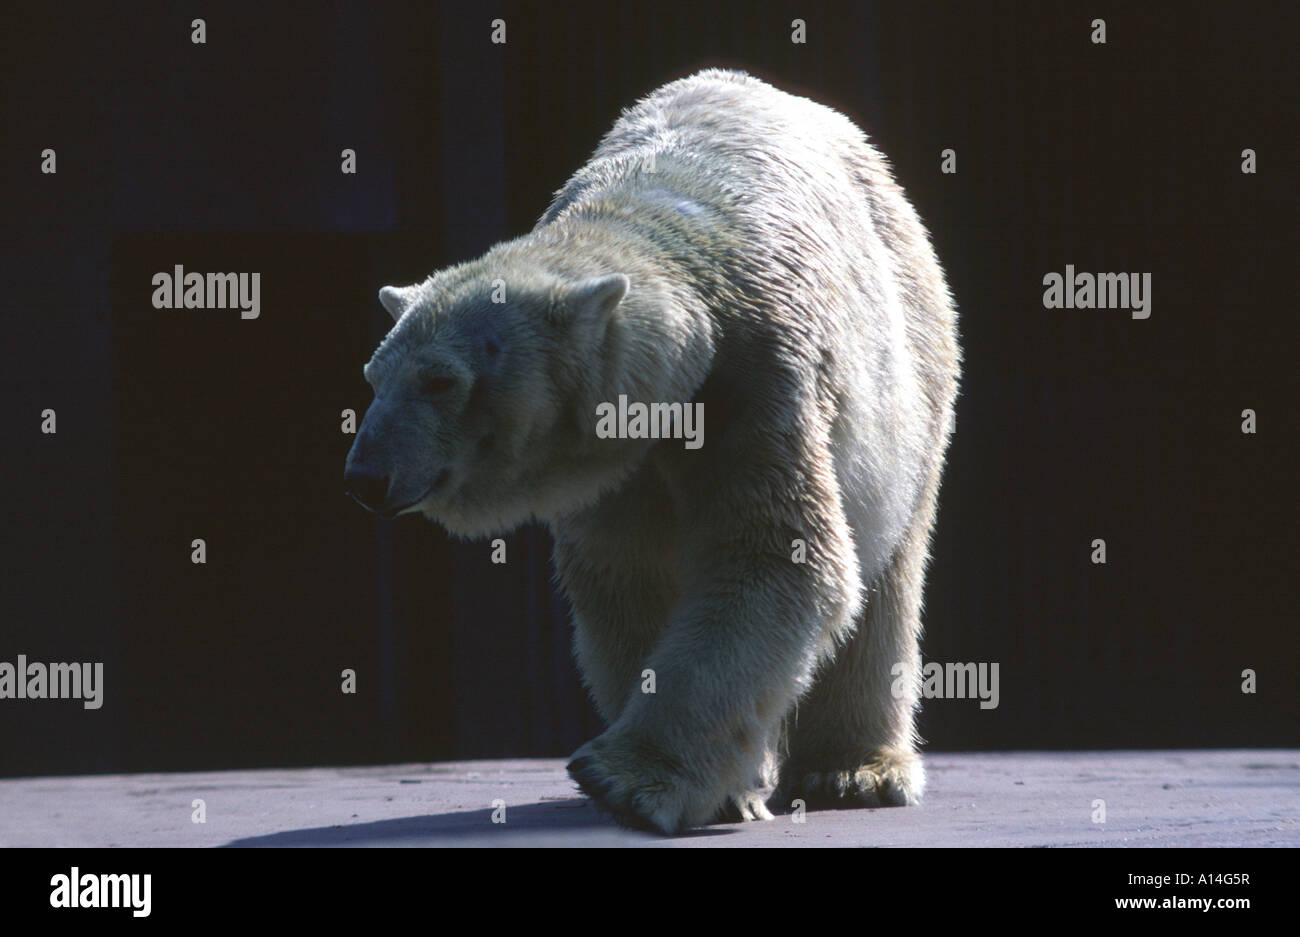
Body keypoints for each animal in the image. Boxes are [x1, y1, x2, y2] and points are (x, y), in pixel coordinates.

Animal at [345, 69, 956, 831]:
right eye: (373, 377)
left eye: (439, 380)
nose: (365, 475)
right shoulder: (616, 464)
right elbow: (626, 576)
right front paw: (718, 786)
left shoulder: (757, 383)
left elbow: (776, 555)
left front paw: (625, 779)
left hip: (913, 363)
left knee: (888, 567)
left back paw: (853, 771)